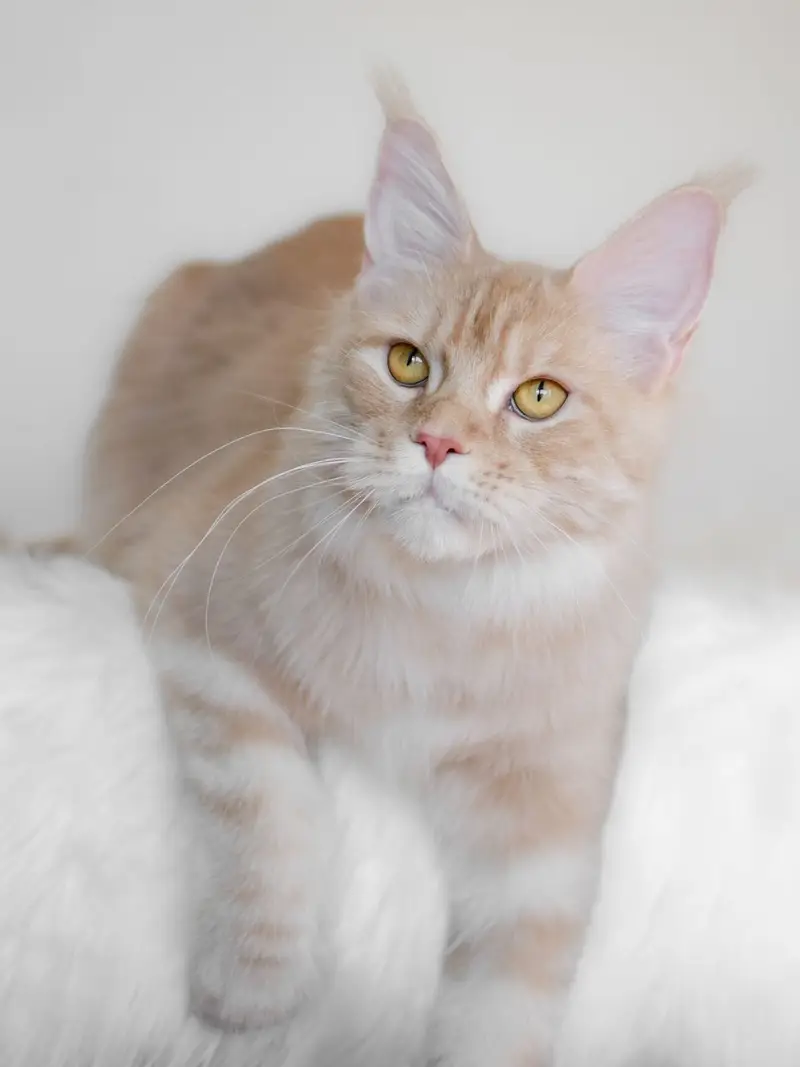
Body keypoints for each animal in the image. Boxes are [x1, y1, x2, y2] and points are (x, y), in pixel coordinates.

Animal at [80, 85, 733, 1067]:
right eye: (408, 363)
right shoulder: (201, 628)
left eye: (538, 397)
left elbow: (509, 991)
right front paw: (255, 985)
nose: (436, 442)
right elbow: (275, 821)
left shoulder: (548, 817)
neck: (442, 617)